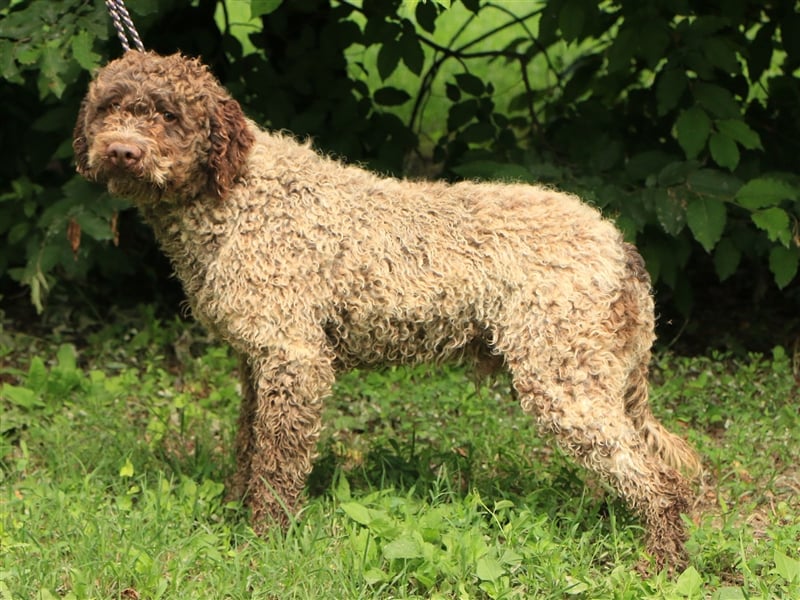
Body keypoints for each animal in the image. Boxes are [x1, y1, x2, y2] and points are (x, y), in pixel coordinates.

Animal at [73, 50, 700, 568]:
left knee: (657, 479)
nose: (122, 151)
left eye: (169, 114)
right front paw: (233, 509)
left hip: (562, 378)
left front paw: (264, 539)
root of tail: (618, 243)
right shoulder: (258, 361)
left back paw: (661, 566)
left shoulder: (295, 359)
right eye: (108, 106)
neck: (239, 194)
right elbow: (249, 445)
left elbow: (277, 462)